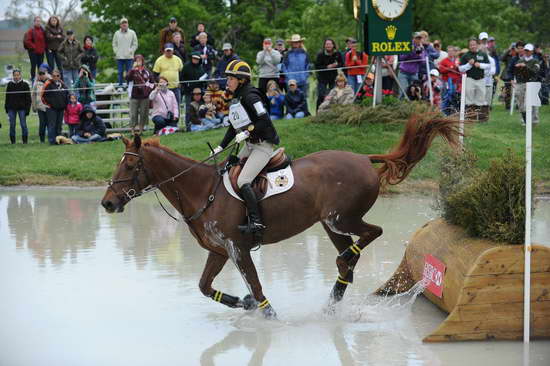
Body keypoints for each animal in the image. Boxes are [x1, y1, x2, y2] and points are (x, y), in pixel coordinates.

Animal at [100, 113, 462, 318]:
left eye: (130, 166)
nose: (107, 203)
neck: (203, 190)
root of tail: (363, 158)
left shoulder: (237, 248)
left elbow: (257, 285)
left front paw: (267, 315)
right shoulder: (219, 250)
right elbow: (204, 286)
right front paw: (244, 304)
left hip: (341, 218)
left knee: (372, 233)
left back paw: (342, 269)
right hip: (330, 224)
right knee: (351, 258)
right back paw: (333, 300)